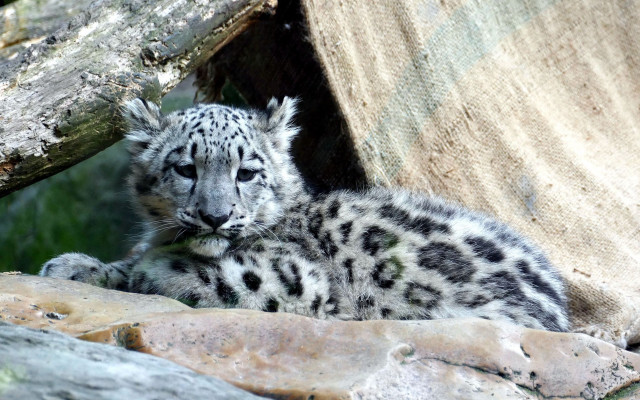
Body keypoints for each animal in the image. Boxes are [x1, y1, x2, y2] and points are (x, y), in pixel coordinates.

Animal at [40, 97, 570, 331]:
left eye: (247, 172)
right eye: (185, 168)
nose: (215, 216)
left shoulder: (292, 278)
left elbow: (194, 275)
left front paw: (148, 268)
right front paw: (73, 266)